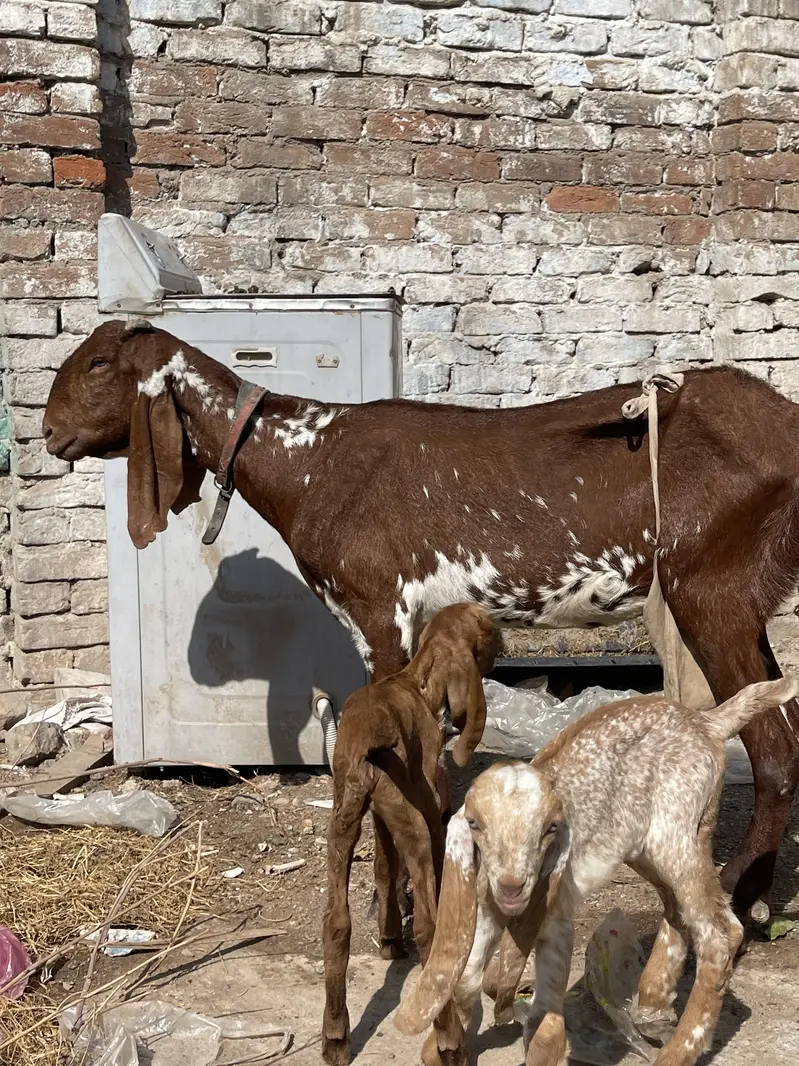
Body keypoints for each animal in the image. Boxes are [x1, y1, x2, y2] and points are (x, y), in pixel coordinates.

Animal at [42, 320, 799, 919]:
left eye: (100, 363)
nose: (49, 431)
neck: (308, 462)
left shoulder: (383, 612)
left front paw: (399, 899)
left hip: (710, 591)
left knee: (773, 753)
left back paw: (738, 893)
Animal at [322, 602, 498, 1065]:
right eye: (488, 628)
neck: (415, 682)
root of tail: (373, 738)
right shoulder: (430, 812)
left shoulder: (382, 816)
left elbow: (384, 867)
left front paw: (387, 938)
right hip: (413, 825)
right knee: (428, 930)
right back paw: (452, 1041)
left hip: (343, 821)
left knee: (337, 922)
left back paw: (335, 1036)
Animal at [395, 674, 797, 1066]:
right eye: (474, 823)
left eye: (550, 828)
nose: (512, 886)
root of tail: (707, 722)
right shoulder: (484, 908)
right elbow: (466, 980)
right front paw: (445, 1049)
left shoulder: (554, 917)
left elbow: (544, 1028)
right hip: (652, 843)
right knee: (676, 907)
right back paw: (652, 1002)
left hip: (676, 830)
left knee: (720, 932)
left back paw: (677, 1051)